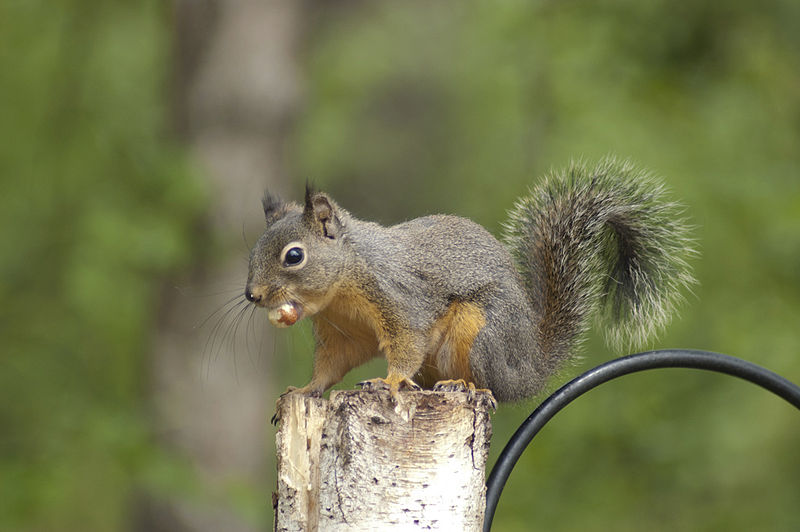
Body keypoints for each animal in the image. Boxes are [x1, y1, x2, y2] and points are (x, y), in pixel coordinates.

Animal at [242, 158, 692, 404]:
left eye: (294, 256)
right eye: (252, 253)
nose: (253, 295)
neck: (341, 288)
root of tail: (528, 369)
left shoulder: (399, 299)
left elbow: (406, 343)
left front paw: (389, 381)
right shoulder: (343, 334)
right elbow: (332, 365)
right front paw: (305, 390)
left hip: (480, 331)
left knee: (490, 385)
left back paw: (465, 386)